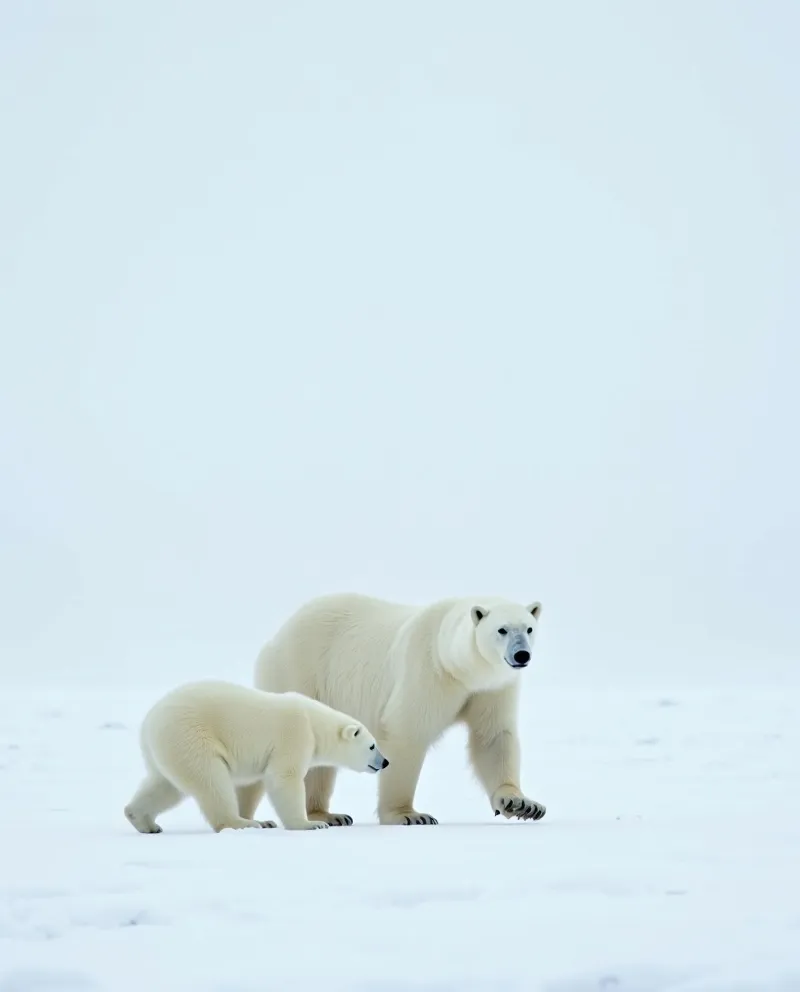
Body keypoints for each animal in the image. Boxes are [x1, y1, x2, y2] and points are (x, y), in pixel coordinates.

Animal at [123, 679, 389, 834]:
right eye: (372, 746)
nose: (385, 762)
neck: (313, 722)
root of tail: (149, 722)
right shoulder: (294, 734)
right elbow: (284, 777)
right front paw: (310, 823)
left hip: (168, 748)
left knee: (165, 785)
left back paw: (144, 821)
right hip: (190, 736)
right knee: (210, 780)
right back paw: (243, 823)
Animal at [243, 593, 545, 827]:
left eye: (529, 628)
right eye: (502, 629)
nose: (521, 655)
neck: (458, 668)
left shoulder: (492, 688)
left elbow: (493, 737)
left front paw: (521, 804)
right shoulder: (427, 670)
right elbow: (407, 732)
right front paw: (409, 815)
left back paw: (328, 814)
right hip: (298, 672)